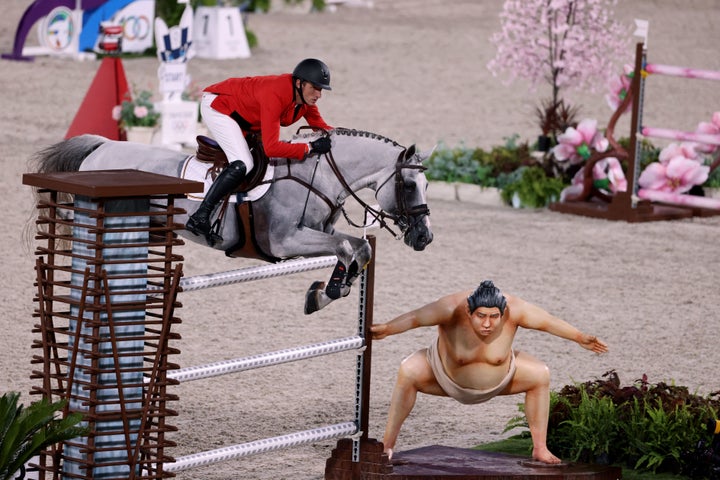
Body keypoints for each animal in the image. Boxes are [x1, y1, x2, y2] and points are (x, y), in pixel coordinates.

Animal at [33, 127, 434, 314]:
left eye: (428, 184)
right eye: (409, 185)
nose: (425, 238)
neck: (317, 175)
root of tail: (102, 145)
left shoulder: (319, 231)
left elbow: (358, 247)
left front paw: (326, 292)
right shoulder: (284, 242)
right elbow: (347, 247)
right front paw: (331, 290)